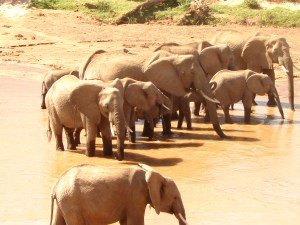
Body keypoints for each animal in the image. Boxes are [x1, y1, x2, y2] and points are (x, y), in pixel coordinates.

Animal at [50, 163, 188, 225]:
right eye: (175, 197)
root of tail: (56, 184)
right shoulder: (136, 196)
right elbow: (135, 222)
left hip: (63, 201)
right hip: (71, 202)